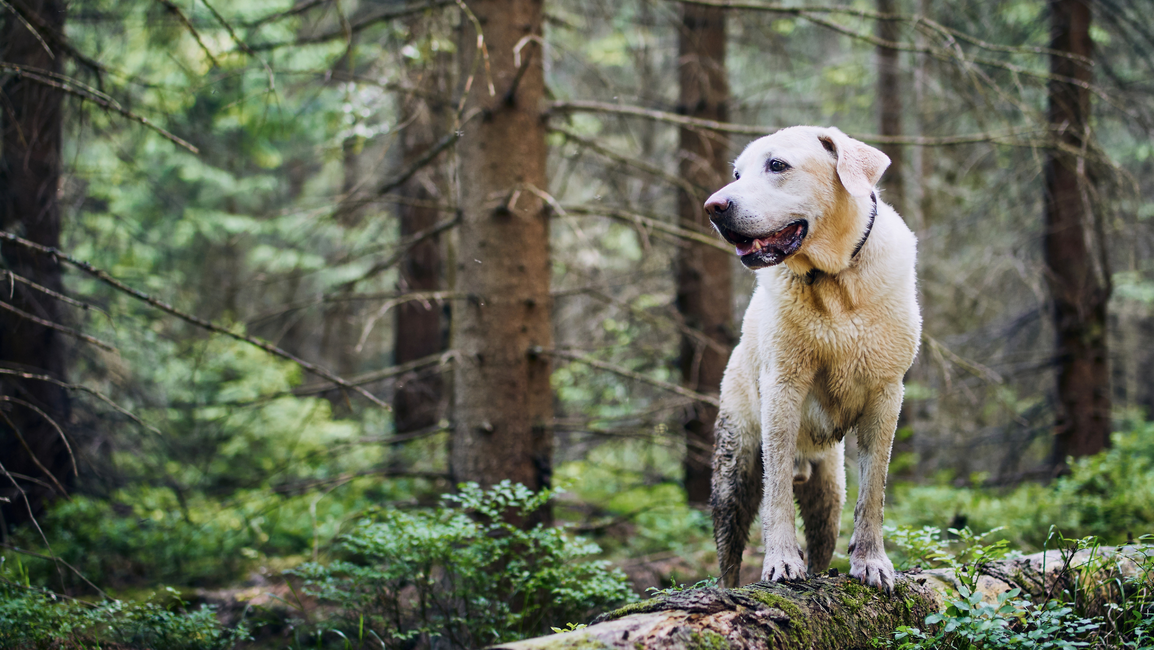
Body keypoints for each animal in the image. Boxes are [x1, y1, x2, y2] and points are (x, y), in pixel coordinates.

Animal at [701, 124, 918, 591]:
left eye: (777, 165)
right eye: (736, 172)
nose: (714, 206)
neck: (835, 281)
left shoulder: (886, 395)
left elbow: (874, 490)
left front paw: (872, 562)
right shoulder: (782, 389)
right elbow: (777, 490)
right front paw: (781, 561)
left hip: (828, 490)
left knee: (824, 535)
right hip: (734, 469)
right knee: (729, 555)